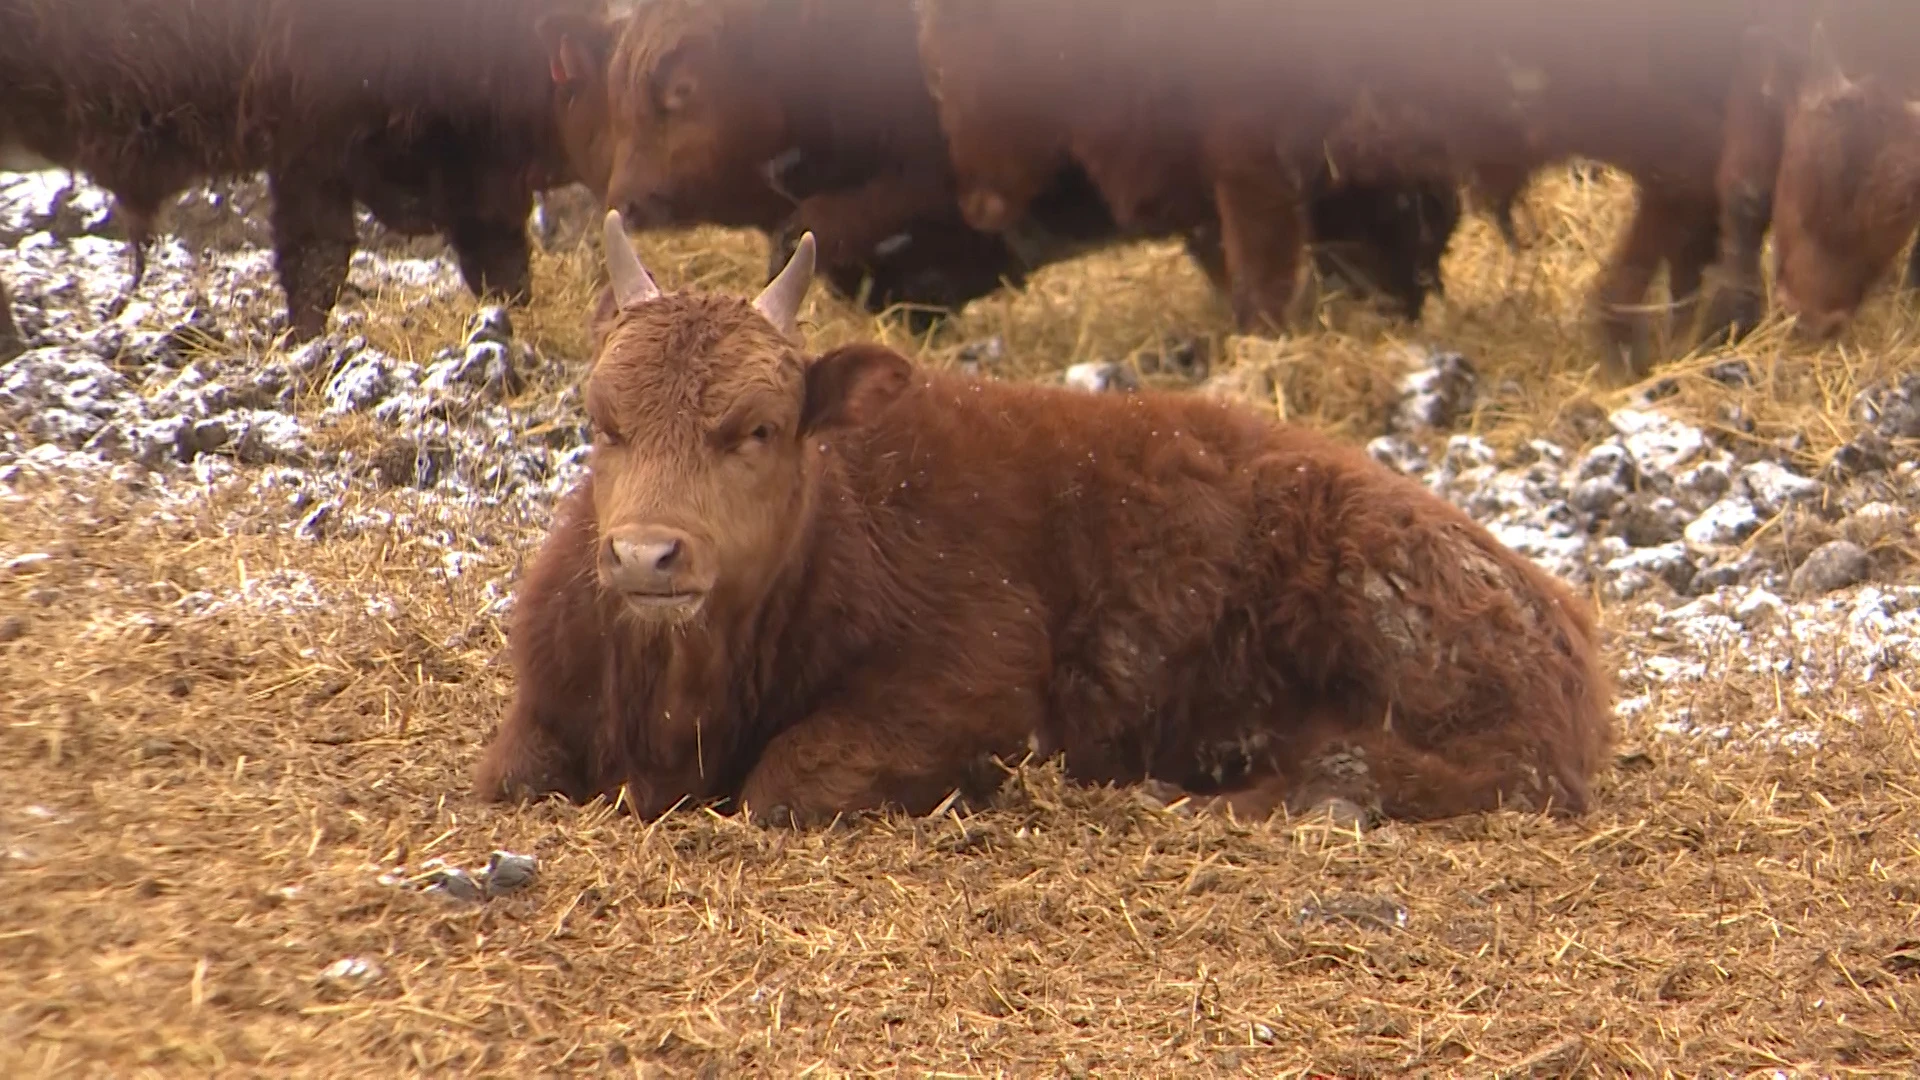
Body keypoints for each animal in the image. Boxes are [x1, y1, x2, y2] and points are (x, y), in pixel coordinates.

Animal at [472, 205, 1612, 818]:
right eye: (604, 421)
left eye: (757, 429)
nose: (646, 557)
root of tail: (1558, 613)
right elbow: (507, 774)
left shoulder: (975, 690)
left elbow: (787, 780)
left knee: (1429, 768)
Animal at [913, 0, 1781, 378]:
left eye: (983, 33)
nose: (981, 203)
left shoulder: (1249, 159)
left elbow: (1262, 277)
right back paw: (1689, 325)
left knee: (1695, 181)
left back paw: (1630, 327)